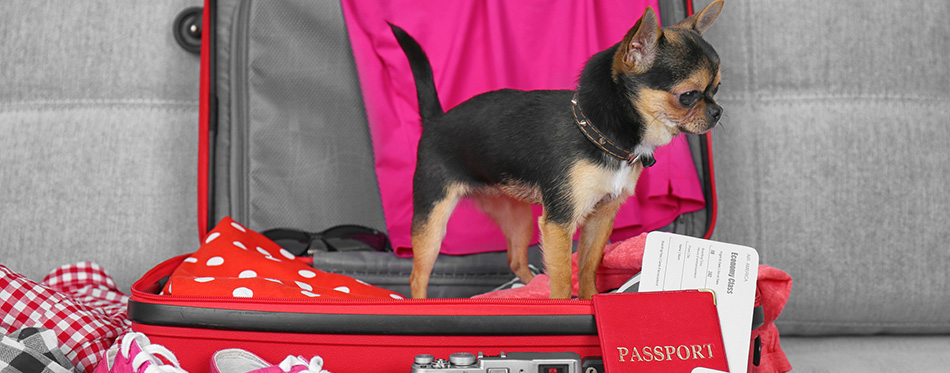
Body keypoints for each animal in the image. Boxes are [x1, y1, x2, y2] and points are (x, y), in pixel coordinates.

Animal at [394, 0, 728, 296]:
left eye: (717, 89)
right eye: (688, 95)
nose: (718, 112)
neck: (595, 132)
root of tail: (436, 119)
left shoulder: (600, 218)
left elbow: (588, 267)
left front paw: (591, 298)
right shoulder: (558, 223)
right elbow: (564, 278)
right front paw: (561, 303)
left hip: (518, 217)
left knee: (516, 260)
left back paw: (530, 288)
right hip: (432, 220)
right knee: (417, 276)